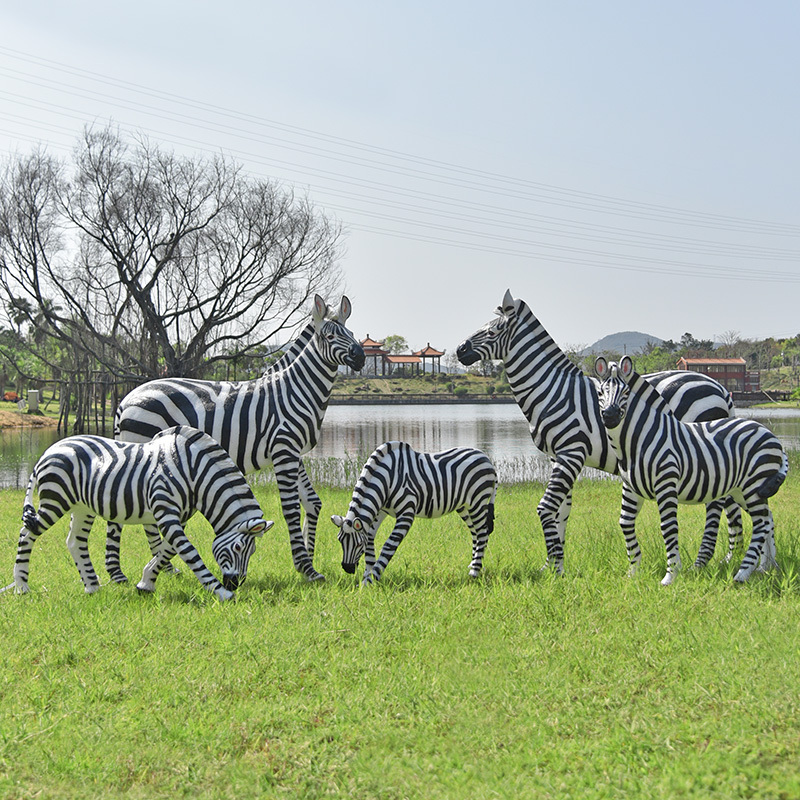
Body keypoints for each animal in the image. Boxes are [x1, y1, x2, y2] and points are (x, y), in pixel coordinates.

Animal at [10, 426, 274, 600]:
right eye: (238, 548)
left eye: (252, 551)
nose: (235, 584)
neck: (194, 473)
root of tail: (49, 450)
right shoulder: (166, 513)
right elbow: (189, 552)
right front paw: (219, 592)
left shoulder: (179, 517)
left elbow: (167, 551)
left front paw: (146, 583)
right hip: (56, 500)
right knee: (27, 533)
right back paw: (22, 587)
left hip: (82, 507)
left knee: (75, 541)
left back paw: (92, 586)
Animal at [105, 294, 365, 584]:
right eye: (330, 336)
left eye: (352, 334)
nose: (361, 356)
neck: (297, 390)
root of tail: (126, 400)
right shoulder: (284, 449)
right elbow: (290, 508)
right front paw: (305, 566)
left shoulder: (294, 452)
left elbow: (312, 501)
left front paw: (307, 561)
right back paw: (117, 573)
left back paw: (165, 569)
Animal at [331, 441, 497, 584]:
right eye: (340, 540)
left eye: (359, 544)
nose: (348, 568)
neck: (387, 480)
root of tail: (486, 459)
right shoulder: (381, 510)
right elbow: (371, 536)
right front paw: (368, 573)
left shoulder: (406, 514)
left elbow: (388, 546)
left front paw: (372, 579)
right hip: (464, 506)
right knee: (476, 533)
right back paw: (474, 564)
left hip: (477, 502)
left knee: (482, 532)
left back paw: (475, 572)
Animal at [456, 289, 742, 575]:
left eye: (494, 330)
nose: (460, 349)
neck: (552, 390)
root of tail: (718, 387)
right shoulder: (557, 456)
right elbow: (561, 512)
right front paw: (553, 565)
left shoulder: (572, 452)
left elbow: (547, 508)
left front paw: (555, 568)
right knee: (729, 501)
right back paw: (730, 558)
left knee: (715, 506)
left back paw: (702, 562)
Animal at [595, 356, 788, 584]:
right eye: (599, 392)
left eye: (625, 393)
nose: (610, 416)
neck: (641, 437)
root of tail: (771, 434)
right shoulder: (631, 487)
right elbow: (624, 522)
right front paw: (633, 570)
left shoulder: (666, 483)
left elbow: (668, 527)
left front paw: (671, 575)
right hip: (745, 490)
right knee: (767, 518)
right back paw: (765, 566)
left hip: (753, 486)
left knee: (759, 524)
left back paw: (742, 573)